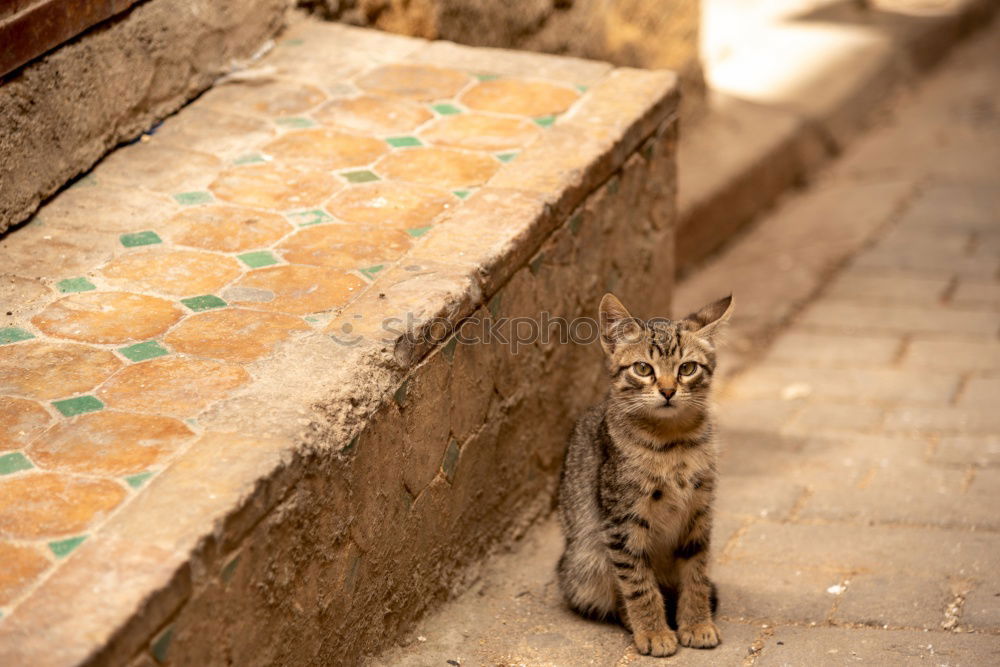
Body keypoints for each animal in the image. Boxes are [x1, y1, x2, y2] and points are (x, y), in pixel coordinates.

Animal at [560, 294, 732, 656]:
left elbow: (696, 573)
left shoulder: (699, 513)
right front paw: (653, 631)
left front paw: (696, 623)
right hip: (585, 563)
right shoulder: (621, 522)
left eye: (687, 368)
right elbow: (638, 584)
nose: (667, 391)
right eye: (643, 369)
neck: (673, 443)